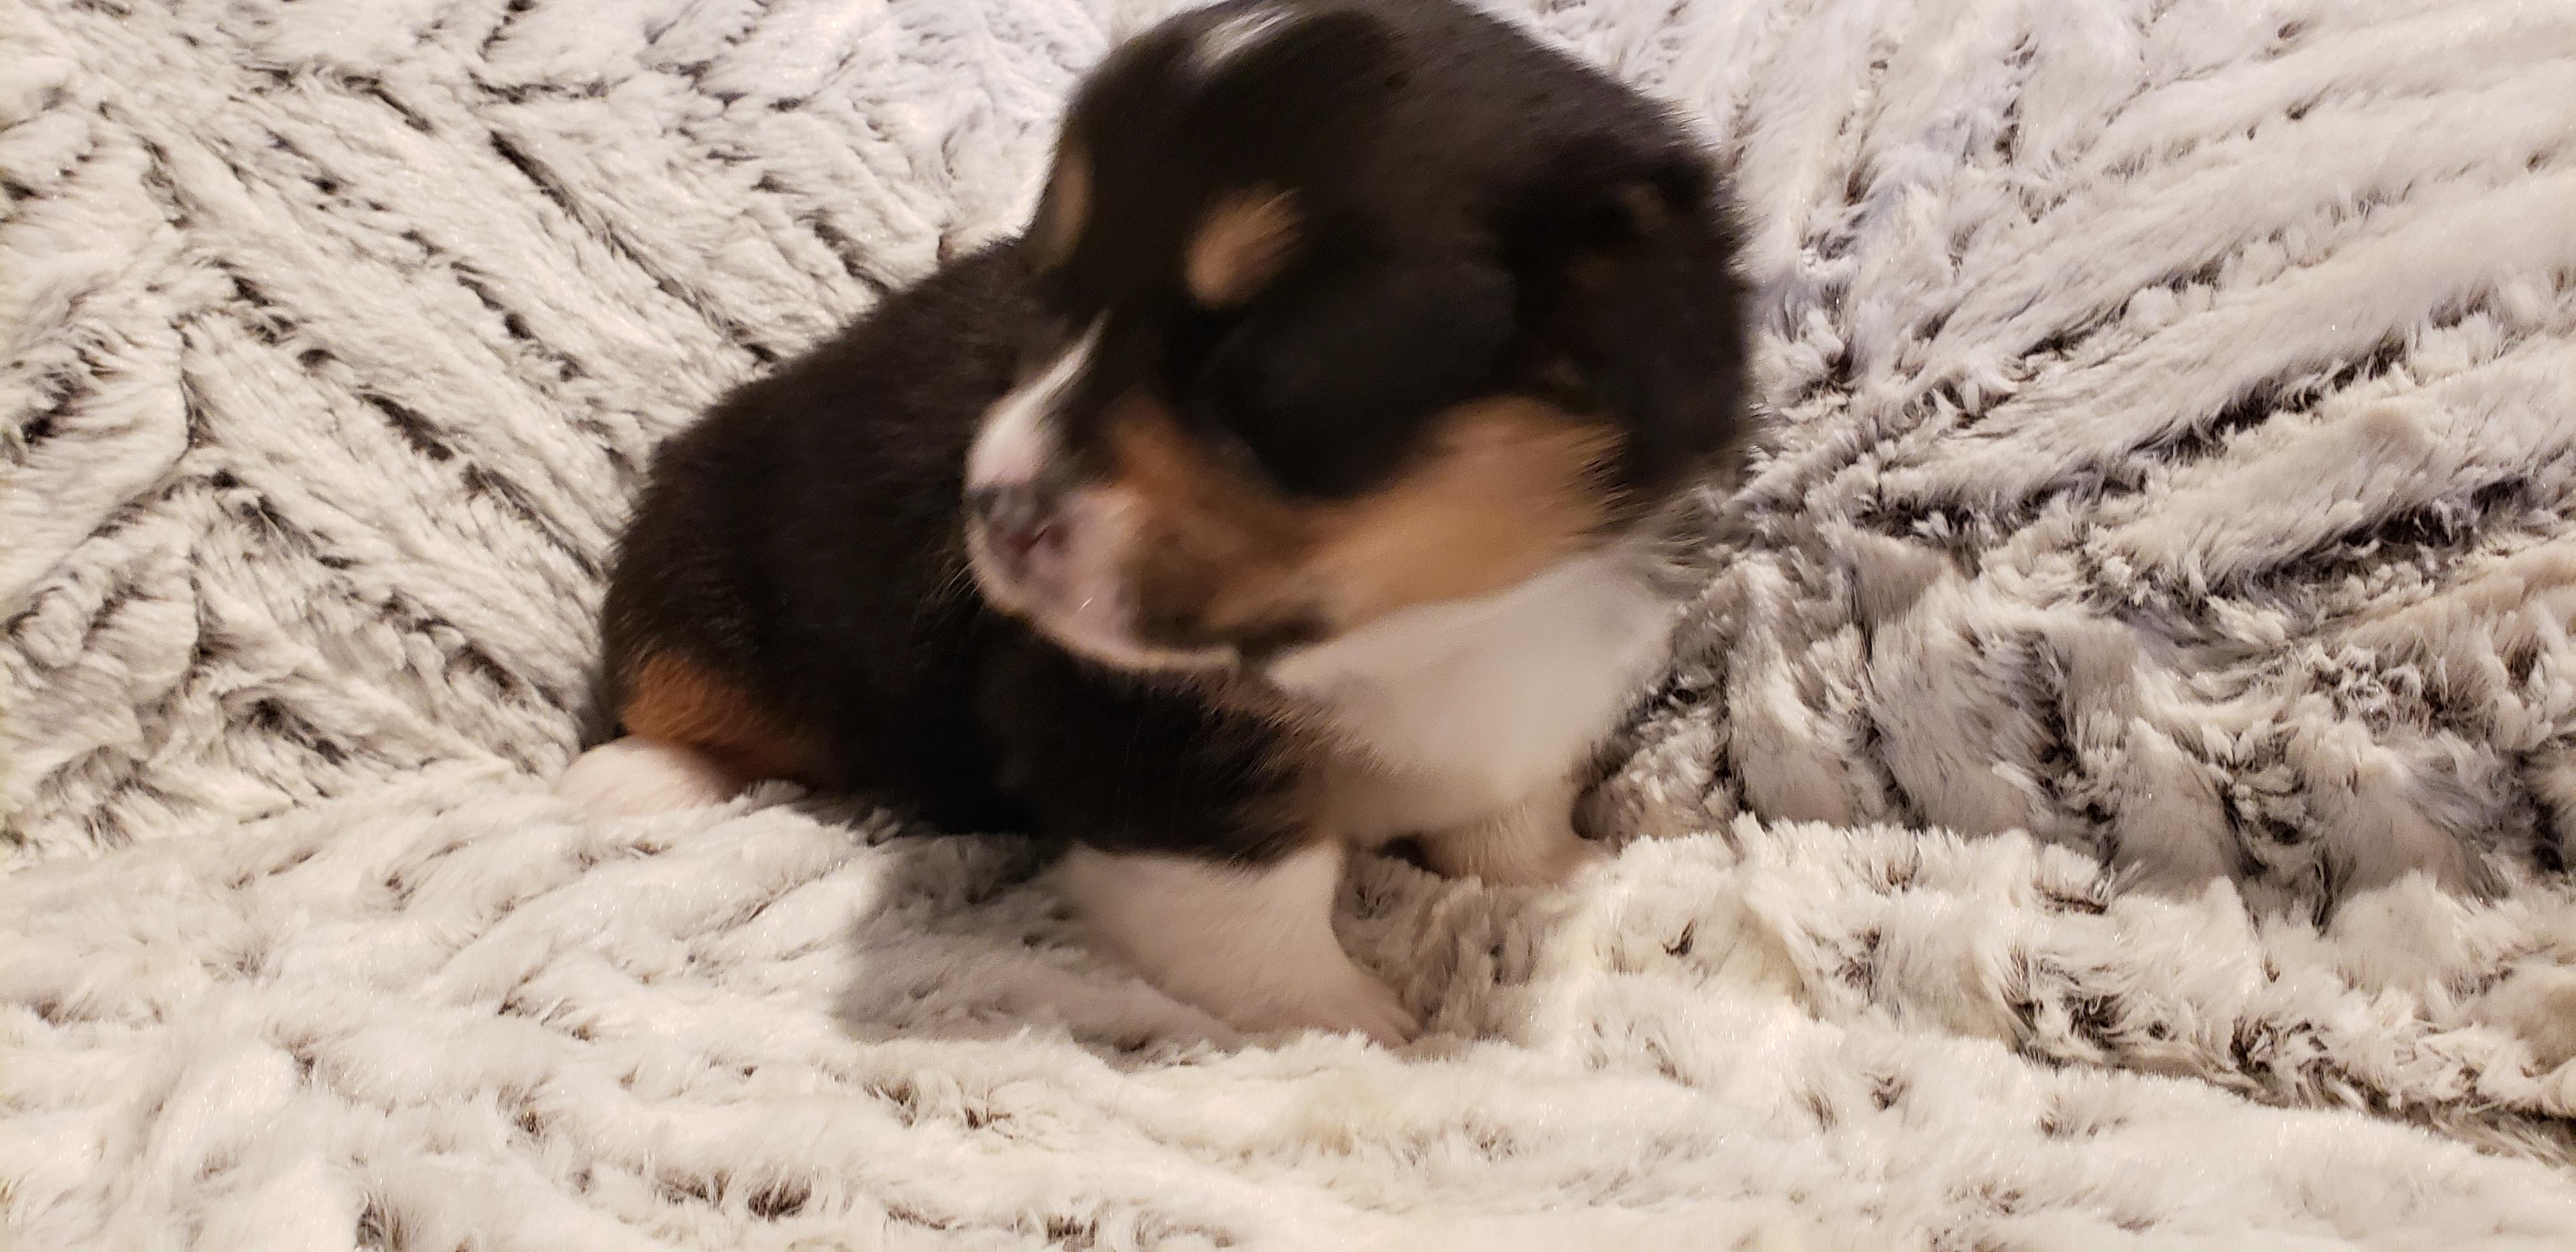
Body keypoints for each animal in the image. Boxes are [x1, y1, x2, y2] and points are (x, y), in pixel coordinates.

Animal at [556, 0, 1748, 1044]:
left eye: (1269, 362)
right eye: (1049, 298)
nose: (987, 512)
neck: (1425, 629)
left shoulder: (1536, 690)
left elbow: (1505, 810)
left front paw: (1553, 870)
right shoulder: (1134, 735)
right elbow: (1253, 900)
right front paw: (1348, 1024)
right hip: (699, 561)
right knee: (673, 688)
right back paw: (636, 780)